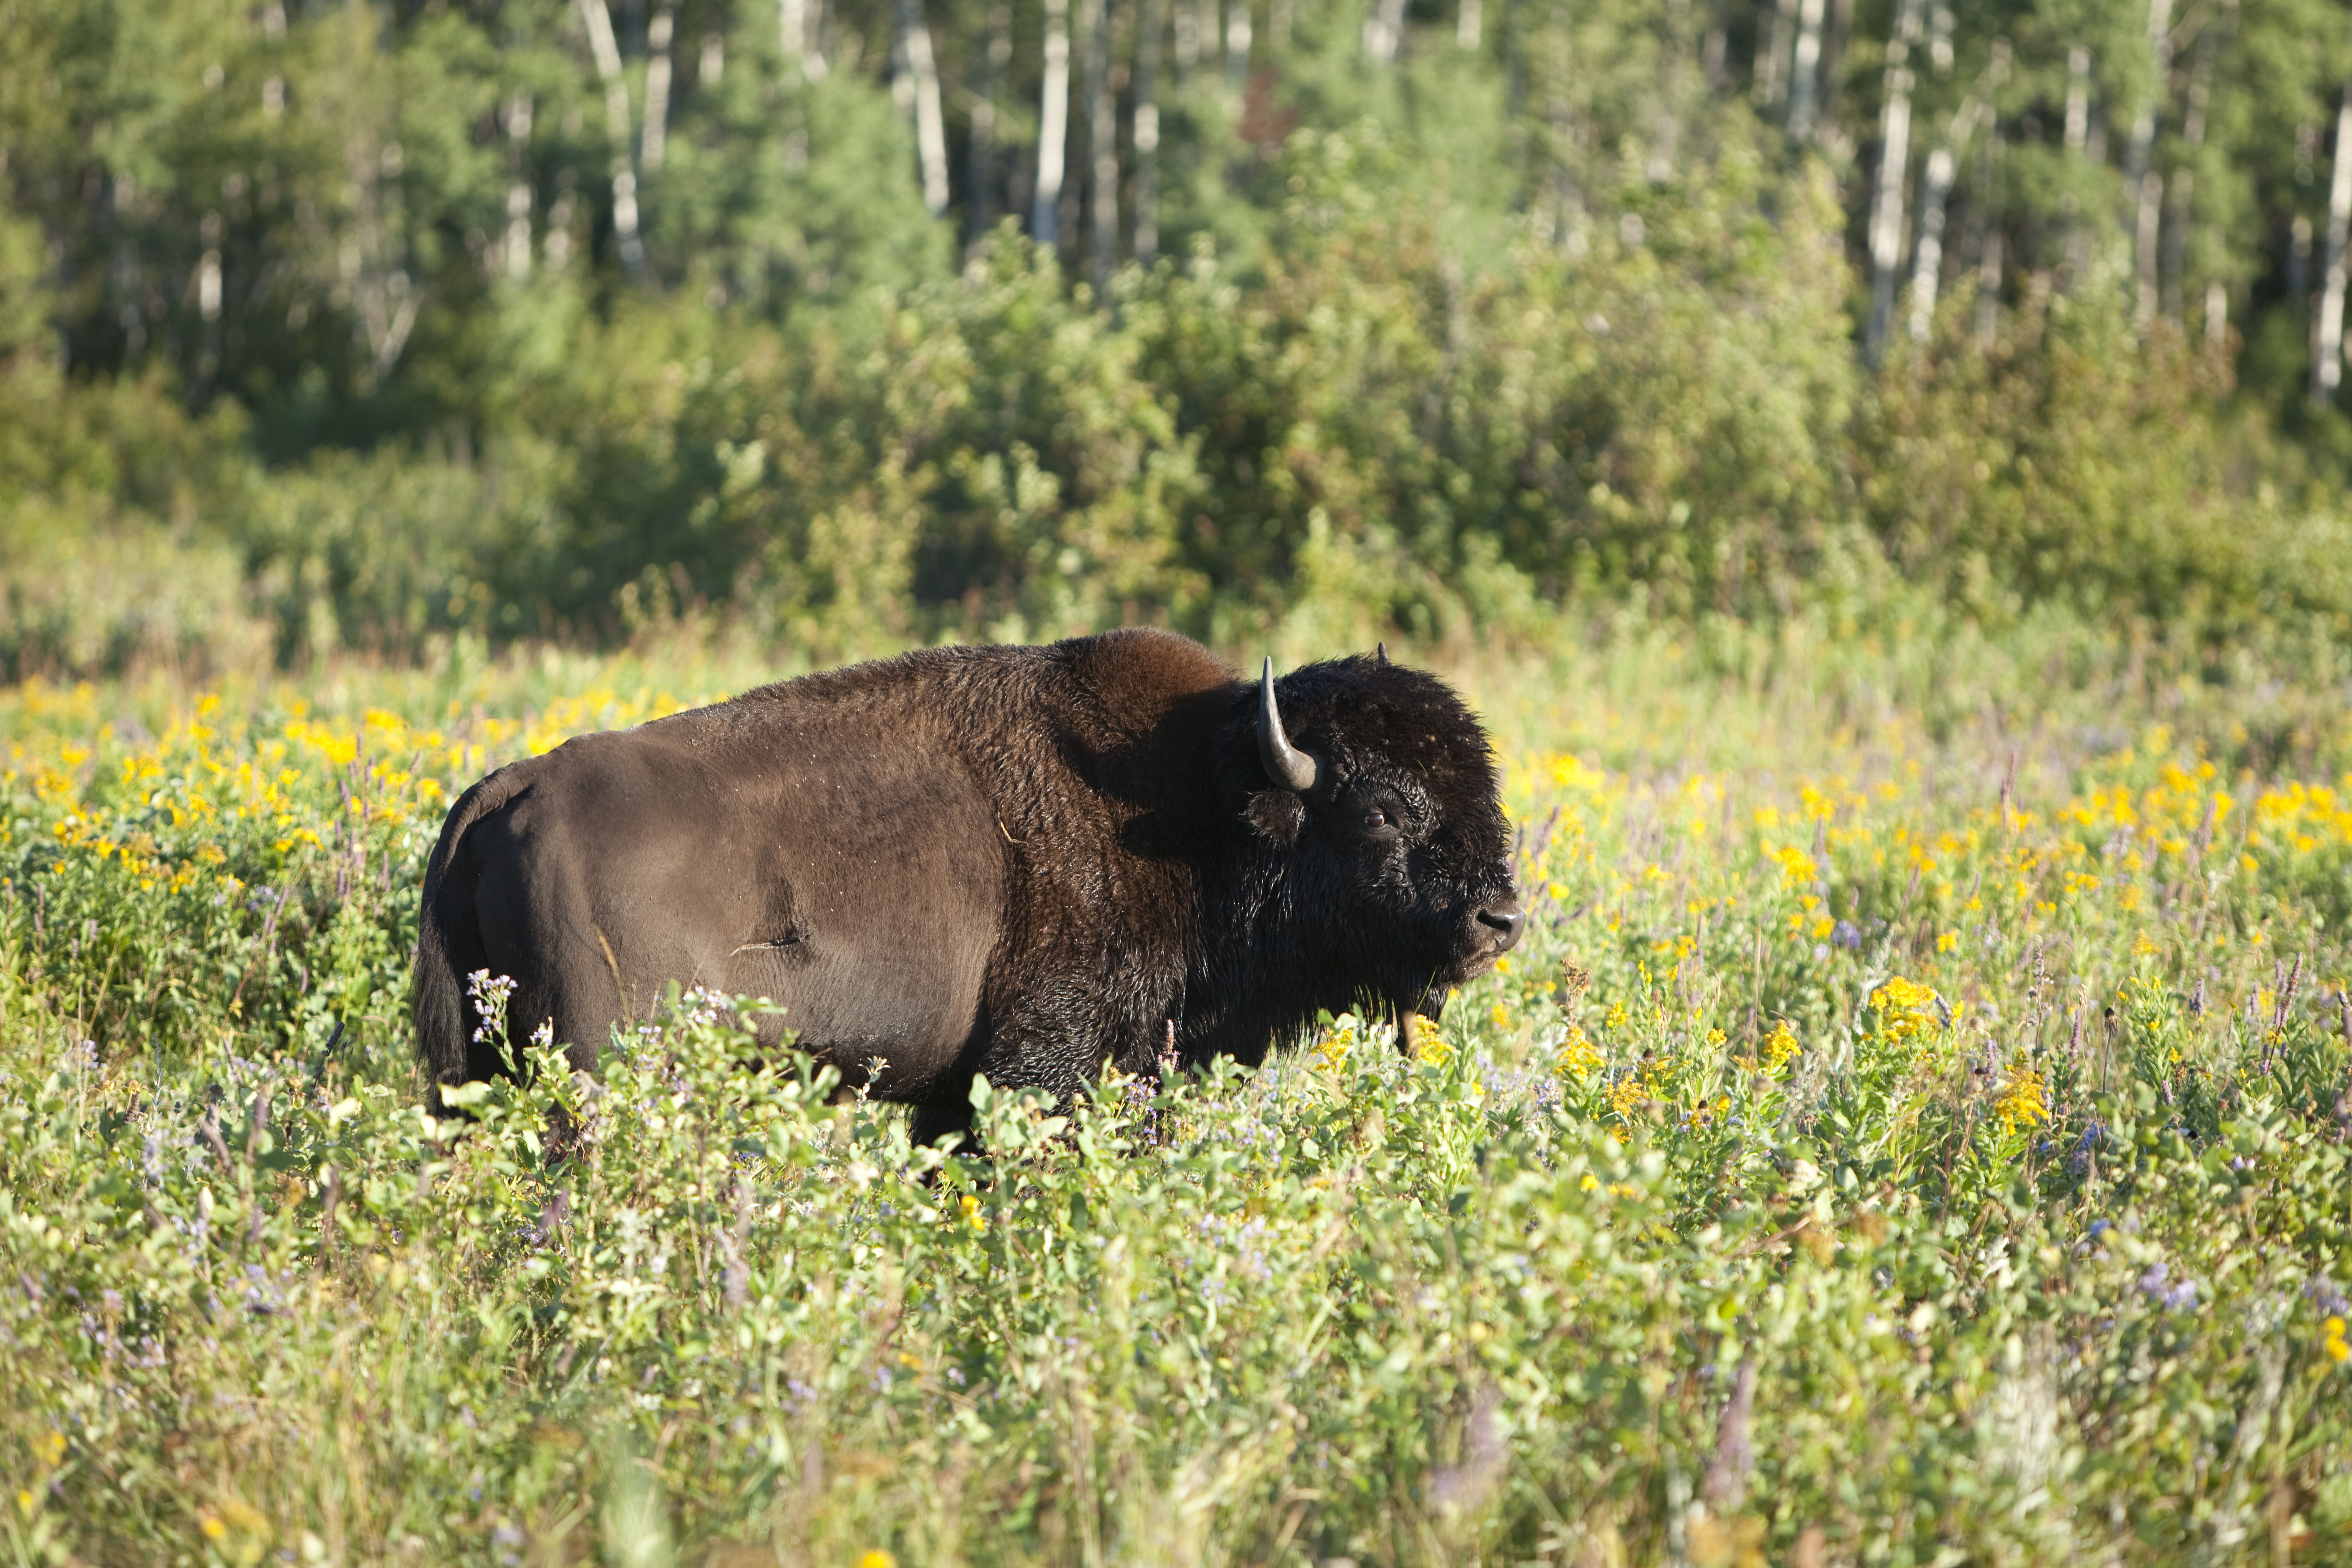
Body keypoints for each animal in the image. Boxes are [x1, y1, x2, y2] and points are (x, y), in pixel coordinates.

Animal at [413, 628, 1523, 1147]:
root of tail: (505, 789)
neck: (1207, 800)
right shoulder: (1054, 1066)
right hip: (598, 1070)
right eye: (1380, 808)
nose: (1499, 917)